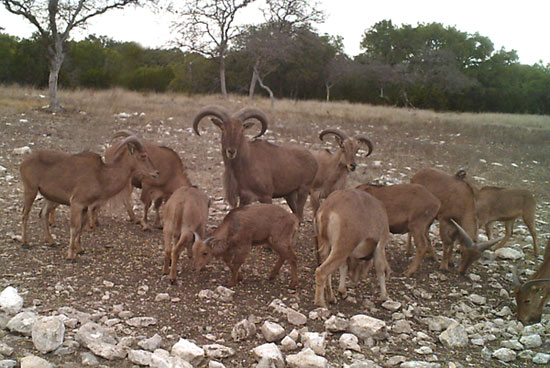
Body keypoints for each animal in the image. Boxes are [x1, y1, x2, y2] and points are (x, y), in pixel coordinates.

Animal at [20, 137, 158, 260]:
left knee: (43, 213)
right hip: (30, 189)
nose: (156, 173)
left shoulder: (85, 206)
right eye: (143, 155)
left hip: (49, 197)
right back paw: (25, 242)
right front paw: (70, 255)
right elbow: (74, 227)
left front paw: (80, 249)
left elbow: (81, 225)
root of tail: (24, 162)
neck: (101, 175)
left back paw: (51, 241)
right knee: (25, 214)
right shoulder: (76, 203)